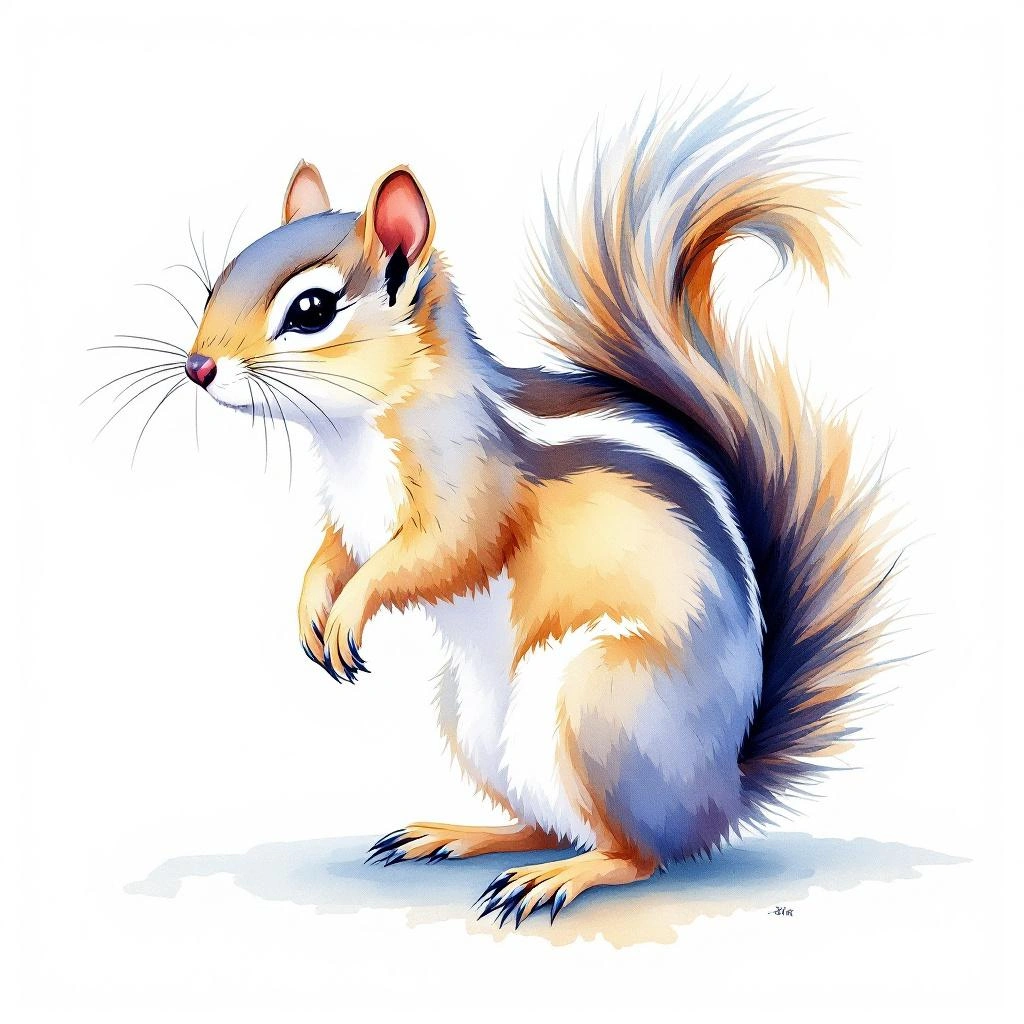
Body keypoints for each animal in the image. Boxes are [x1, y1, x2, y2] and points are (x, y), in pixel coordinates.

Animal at [173, 96, 896, 927]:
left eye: (312, 309)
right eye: (218, 282)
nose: (197, 367)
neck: (353, 433)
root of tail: (722, 791)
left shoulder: (471, 491)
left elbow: (440, 555)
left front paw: (351, 607)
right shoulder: (349, 518)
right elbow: (332, 553)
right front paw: (311, 605)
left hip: (601, 705)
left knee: (637, 854)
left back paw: (561, 877)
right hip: (474, 721)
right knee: (545, 822)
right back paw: (459, 836)